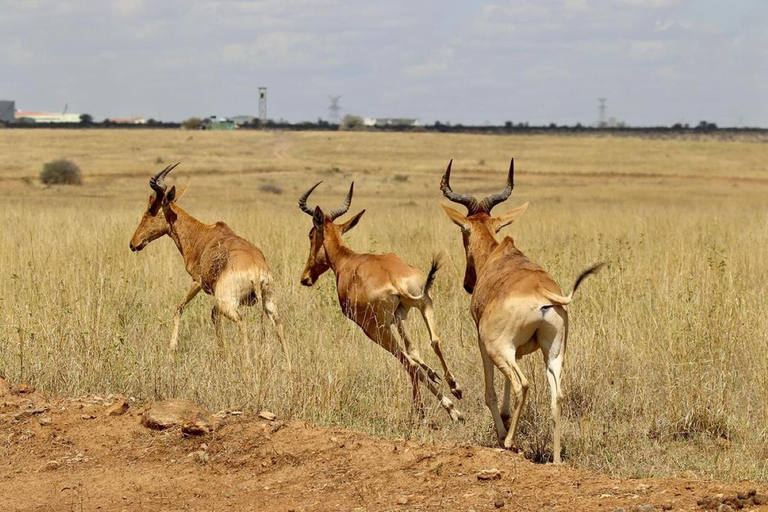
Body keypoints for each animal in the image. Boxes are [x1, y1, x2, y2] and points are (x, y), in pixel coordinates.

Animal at [130, 164, 292, 368]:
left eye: (151, 208)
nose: (133, 243)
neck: (203, 234)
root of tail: (256, 271)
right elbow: (213, 317)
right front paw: (222, 355)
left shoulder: (197, 281)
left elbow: (179, 308)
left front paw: (171, 354)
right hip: (269, 301)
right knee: (278, 325)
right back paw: (289, 368)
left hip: (227, 302)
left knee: (242, 322)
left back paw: (248, 367)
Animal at [296, 182, 464, 422]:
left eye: (311, 235)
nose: (306, 278)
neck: (348, 260)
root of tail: (393, 278)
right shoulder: (398, 317)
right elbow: (413, 349)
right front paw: (434, 373)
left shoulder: (375, 326)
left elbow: (411, 358)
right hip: (424, 302)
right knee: (434, 341)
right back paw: (455, 388)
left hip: (377, 331)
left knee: (408, 364)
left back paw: (443, 411)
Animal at [438, 160, 600, 464]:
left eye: (463, 232)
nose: (467, 284)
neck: (498, 254)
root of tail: (541, 292)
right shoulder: (520, 350)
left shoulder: (484, 342)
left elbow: (490, 391)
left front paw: (502, 431)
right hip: (554, 352)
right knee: (556, 396)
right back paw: (556, 460)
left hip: (499, 348)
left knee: (522, 384)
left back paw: (510, 442)